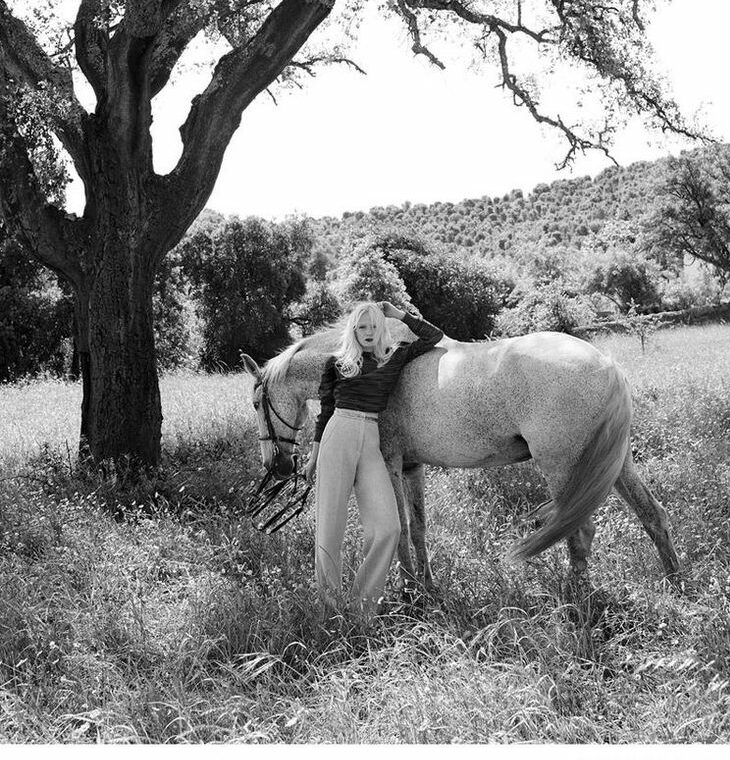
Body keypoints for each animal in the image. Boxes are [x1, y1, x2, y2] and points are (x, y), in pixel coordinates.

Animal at [242, 318, 680, 592]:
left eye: (255, 403)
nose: (274, 466)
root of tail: (607, 365)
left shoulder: (388, 465)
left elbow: (401, 530)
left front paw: (409, 589)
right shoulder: (412, 467)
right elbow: (418, 528)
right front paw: (428, 584)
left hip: (564, 469)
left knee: (580, 532)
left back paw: (579, 599)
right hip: (614, 465)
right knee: (653, 516)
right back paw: (674, 584)